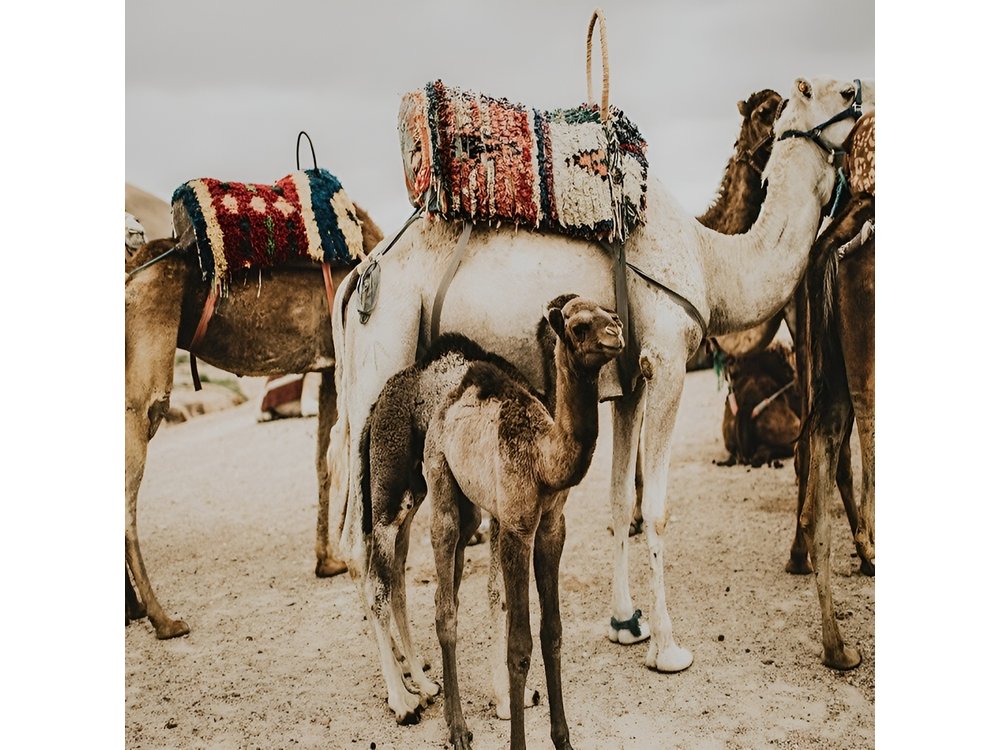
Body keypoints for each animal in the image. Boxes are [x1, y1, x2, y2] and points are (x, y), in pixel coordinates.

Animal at [125, 204, 383, 639]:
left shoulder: (329, 364)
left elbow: (323, 460)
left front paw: (327, 561)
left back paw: (134, 609)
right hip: (146, 372)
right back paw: (164, 619)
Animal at [327, 76, 874, 690]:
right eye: (806, 91)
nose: (858, 89)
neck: (711, 261)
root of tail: (357, 278)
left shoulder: (630, 381)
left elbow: (618, 502)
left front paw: (626, 623)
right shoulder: (666, 360)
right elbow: (654, 508)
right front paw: (668, 648)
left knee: (390, 542)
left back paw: (417, 671)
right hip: (379, 372)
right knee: (361, 543)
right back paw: (404, 694)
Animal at [423, 297, 623, 750]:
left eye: (611, 313)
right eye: (580, 327)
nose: (618, 332)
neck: (544, 460)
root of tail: (448, 402)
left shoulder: (551, 527)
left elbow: (553, 633)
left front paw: (564, 739)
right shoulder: (517, 528)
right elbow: (519, 647)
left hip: (473, 506)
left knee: (454, 580)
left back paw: (451, 717)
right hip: (439, 474)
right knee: (445, 602)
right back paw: (458, 729)